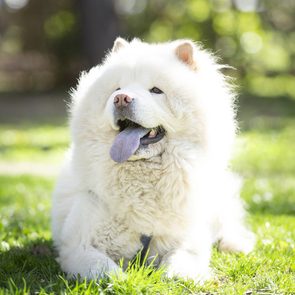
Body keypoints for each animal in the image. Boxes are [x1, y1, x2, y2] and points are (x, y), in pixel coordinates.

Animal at [52, 38, 256, 284]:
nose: (121, 99)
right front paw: (122, 280)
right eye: (117, 89)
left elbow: (180, 260)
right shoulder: (78, 247)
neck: (142, 180)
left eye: (156, 91)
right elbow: (103, 268)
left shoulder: (186, 240)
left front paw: (178, 275)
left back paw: (235, 244)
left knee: (228, 224)